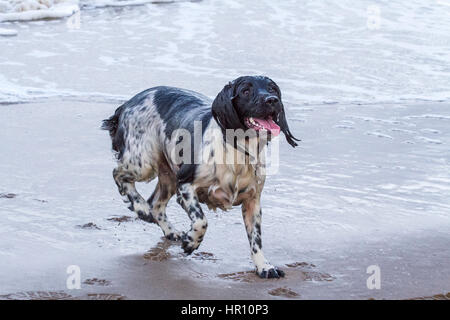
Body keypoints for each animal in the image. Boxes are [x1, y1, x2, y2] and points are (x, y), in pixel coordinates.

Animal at [102, 75, 298, 278]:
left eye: (273, 89)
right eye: (245, 91)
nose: (272, 100)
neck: (238, 150)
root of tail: (127, 104)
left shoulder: (253, 201)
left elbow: (256, 239)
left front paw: (264, 266)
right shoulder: (186, 184)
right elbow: (201, 220)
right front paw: (191, 242)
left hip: (168, 176)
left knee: (156, 204)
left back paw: (170, 231)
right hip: (143, 162)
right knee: (119, 175)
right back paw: (141, 209)